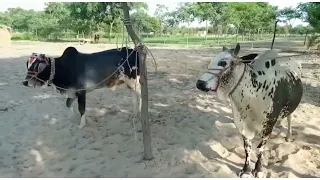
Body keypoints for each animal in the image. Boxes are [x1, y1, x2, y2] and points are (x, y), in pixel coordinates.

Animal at [196, 43, 304, 177]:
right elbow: (247, 148)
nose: (199, 83)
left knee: (289, 117)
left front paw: (258, 169)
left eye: (223, 62)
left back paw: (288, 135)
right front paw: (246, 170)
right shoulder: (242, 125)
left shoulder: (267, 126)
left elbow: (261, 149)